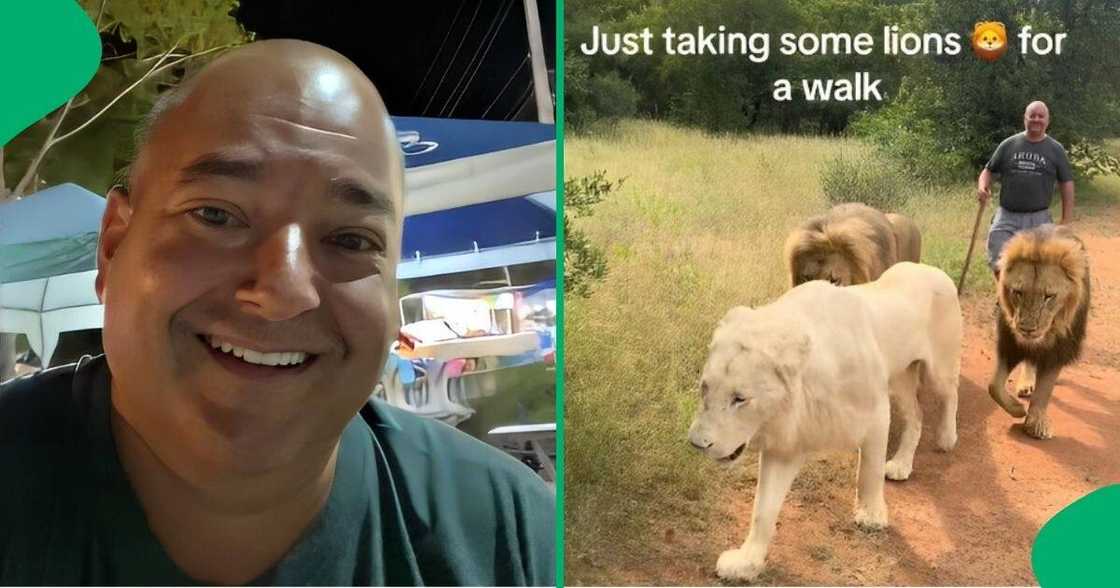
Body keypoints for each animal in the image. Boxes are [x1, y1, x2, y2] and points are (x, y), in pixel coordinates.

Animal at [685, 262, 958, 582]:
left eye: (740, 398)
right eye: (704, 388)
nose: (697, 443)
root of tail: (929, 268)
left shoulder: (876, 413)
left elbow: (870, 471)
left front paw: (871, 516)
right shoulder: (785, 447)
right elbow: (763, 509)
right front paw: (746, 563)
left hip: (939, 369)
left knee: (950, 393)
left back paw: (947, 437)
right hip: (900, 380)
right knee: (916, 415)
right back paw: (902, 464)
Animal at [985, 222, 1088, 436]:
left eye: (1049, 296)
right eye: (1018, 292)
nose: (1027, 329)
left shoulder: (1059, 349)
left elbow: (1044, 389)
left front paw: (1036, 423)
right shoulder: (1010, 343)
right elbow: (994, 386)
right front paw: (1017, 409)